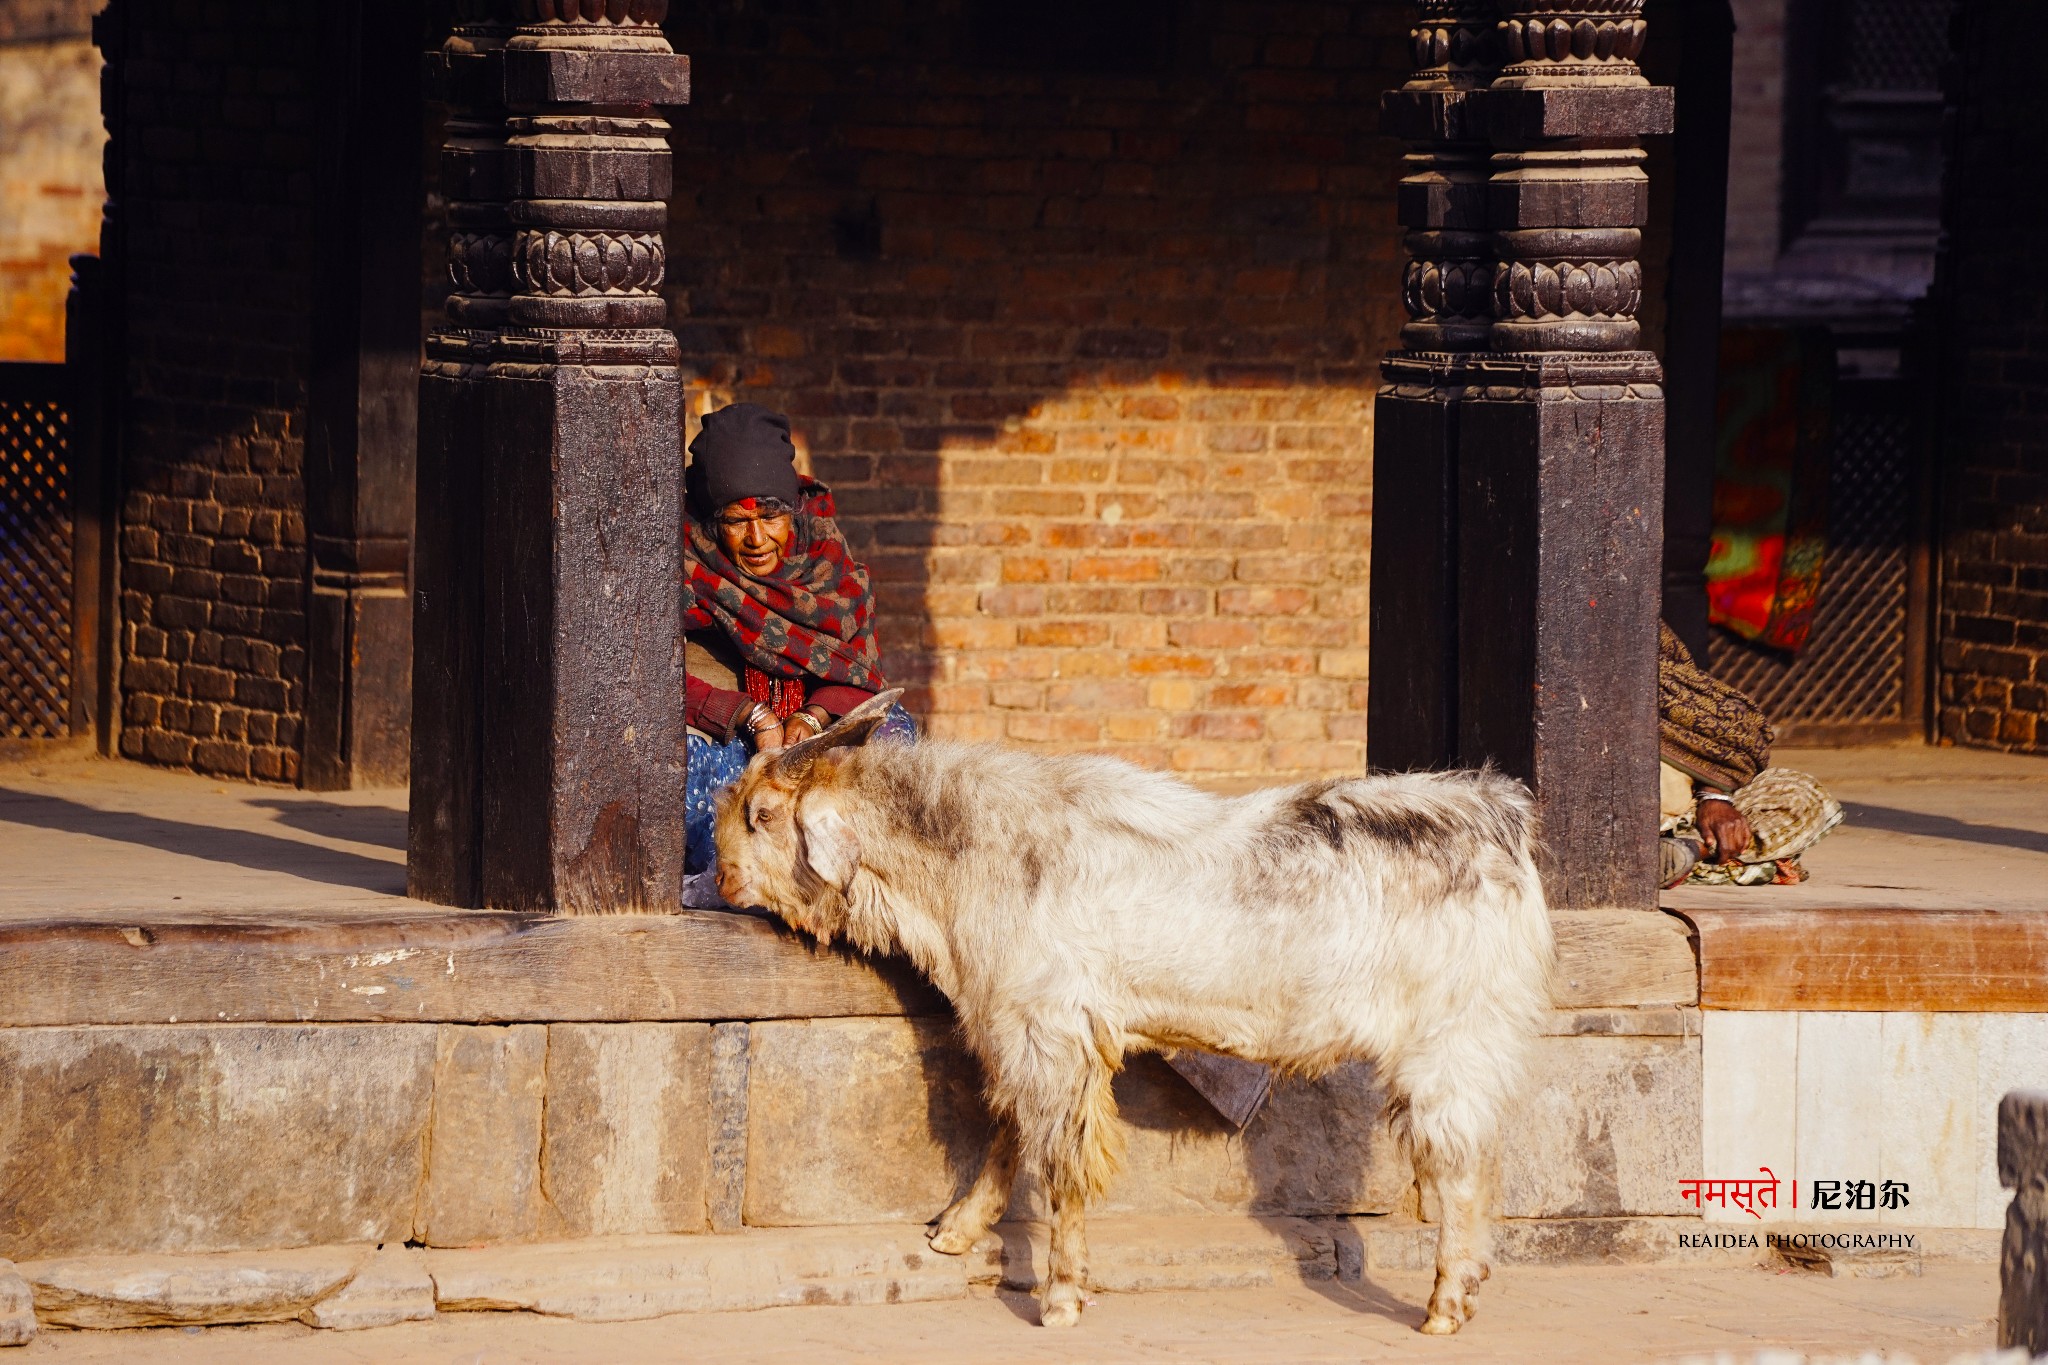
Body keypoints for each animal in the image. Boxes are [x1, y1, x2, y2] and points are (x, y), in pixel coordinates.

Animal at [720, 695, 1548, 1334]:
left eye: (761, 813)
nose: (722, 878)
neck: (971, 855)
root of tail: (1499, 821)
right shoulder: (1026, 1028)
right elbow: (1011, 1129)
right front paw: (955, 1231)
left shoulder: (1047, 1025)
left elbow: (1059, 1160)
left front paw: (1059, 1299)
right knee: (1482, 1151)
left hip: (1450, 1037)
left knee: (1460, 1163)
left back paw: (1444, 1304)